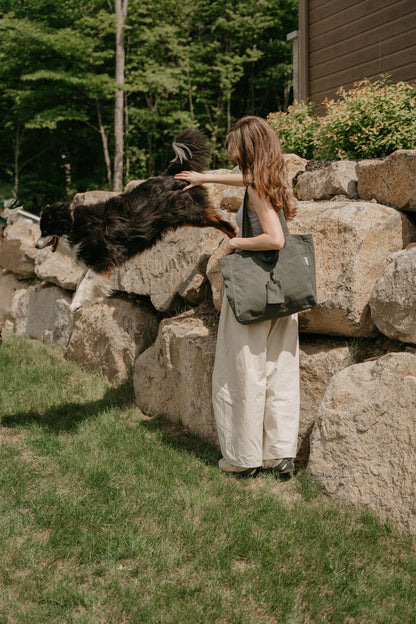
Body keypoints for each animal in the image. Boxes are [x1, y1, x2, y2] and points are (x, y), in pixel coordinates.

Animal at [35, 130, 237, 312]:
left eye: (45, 231)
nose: (36, 246)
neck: (73, 226)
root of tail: (171, 175)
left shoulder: (104, 256)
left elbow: (87, 281)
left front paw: (75, 304)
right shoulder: (94, 258)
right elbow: (85, 281)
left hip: (188, 213)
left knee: (219, 220)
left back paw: (234, 234)